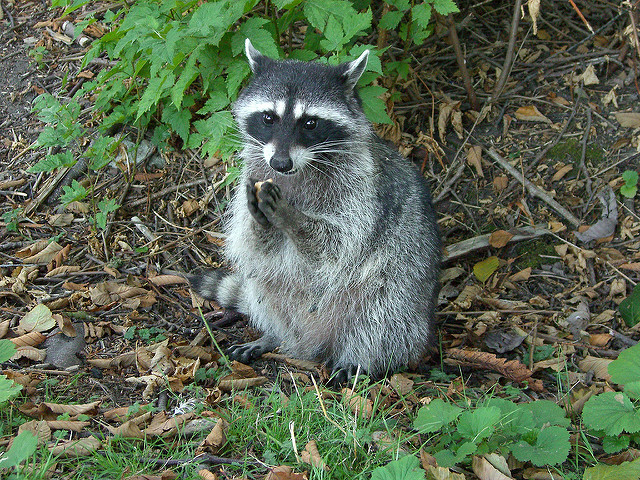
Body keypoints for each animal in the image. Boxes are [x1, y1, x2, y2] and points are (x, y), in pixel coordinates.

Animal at [188, 39, 442, 380]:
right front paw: (261, 223)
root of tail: (313, 342)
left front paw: (293, 218)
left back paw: (360, 359)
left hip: (402, 294)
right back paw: (275, 335)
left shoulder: (364, 193)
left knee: (382, 315)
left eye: (310, 123)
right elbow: (252, 245)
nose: (280, 163)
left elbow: (337, 245)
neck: (296, 172)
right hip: (281, 301)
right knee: (264, 286)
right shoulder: (250, 178)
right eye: (268, 118)